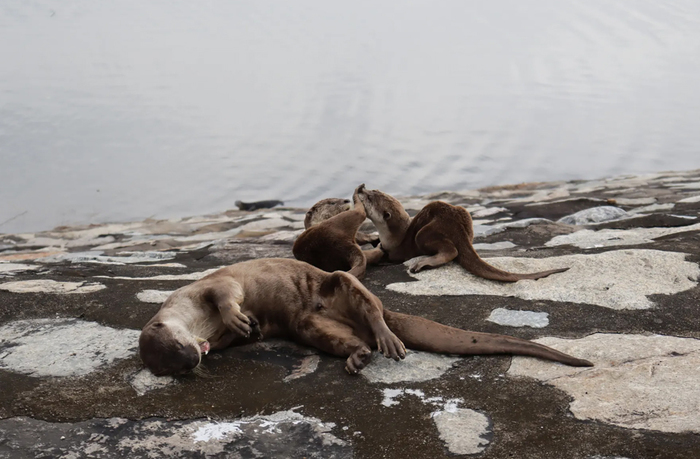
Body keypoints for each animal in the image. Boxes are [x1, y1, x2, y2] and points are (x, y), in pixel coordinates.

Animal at [139, 258, 592, 378]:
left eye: (177, 345)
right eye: (175, 367)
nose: (193, 358)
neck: (199, 325)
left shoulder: (203, 289)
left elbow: (226, 295)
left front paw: (237, 318)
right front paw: (247, 331)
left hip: (339, 282)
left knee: (371, 306)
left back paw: (388, 339)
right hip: (310, 325)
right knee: (348, 340)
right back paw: (358, 357)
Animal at [356, 185, 568, 282]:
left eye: (369, 197)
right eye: (372, 190)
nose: (361, 188)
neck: (393, 237)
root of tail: (457, 228)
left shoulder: (397, 250)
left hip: (424, 233)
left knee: (451, 251)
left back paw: (424, 263)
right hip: (464, 214)